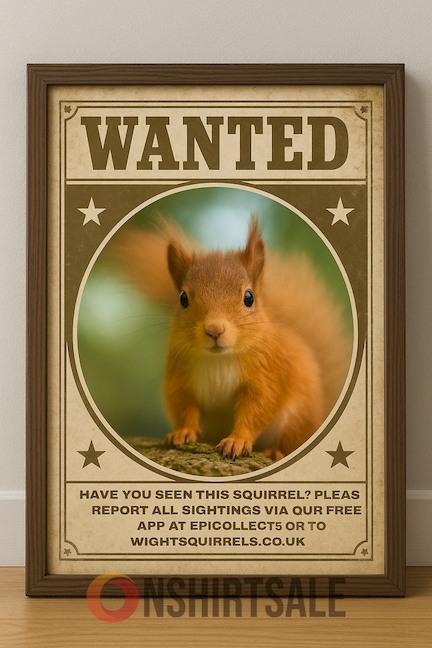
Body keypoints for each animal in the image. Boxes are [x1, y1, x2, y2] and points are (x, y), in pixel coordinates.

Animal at [113, 215, 352, 461]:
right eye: (182, 298)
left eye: (249, 298)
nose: (214, 330)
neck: (219, 359)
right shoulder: (180, 374)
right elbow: (182, 404)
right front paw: (184, 431)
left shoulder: (266, 373)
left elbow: (258, 408)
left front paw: (237, 440)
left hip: (298, 416)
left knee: (292, 439)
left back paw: (276, 451)